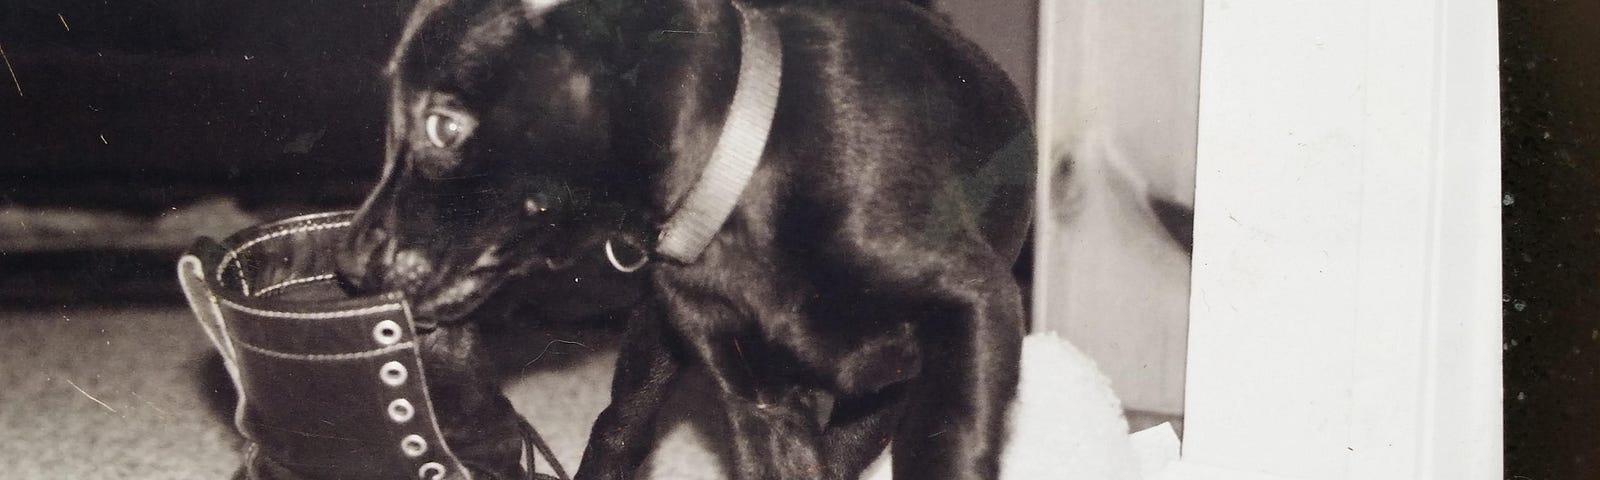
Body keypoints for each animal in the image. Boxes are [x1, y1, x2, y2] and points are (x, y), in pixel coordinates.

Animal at [337, 0, 1036, 476]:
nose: (346, 267)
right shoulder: (761, 404)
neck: (744, 177)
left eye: (443, 127)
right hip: (654, 342)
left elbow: (945, 443)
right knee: (619, 428)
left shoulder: (974, 309)